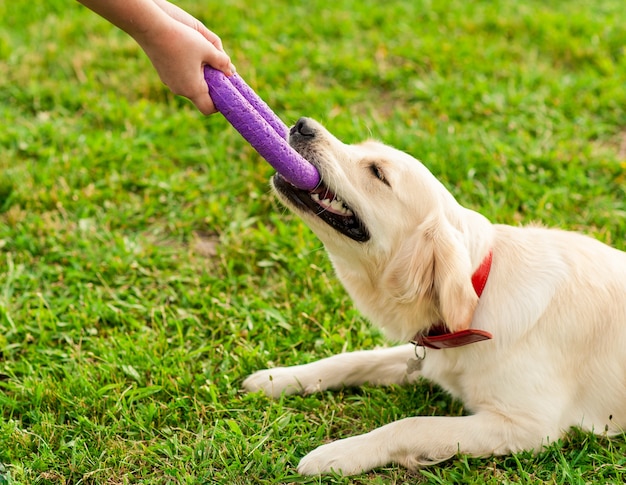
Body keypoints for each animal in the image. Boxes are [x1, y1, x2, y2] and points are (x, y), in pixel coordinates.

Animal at [241, 118, 624, 476]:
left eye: (378, 172)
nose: (302, 125)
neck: (481, 291)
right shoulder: (428, 351)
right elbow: (354, 359)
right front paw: (280, 378)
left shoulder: (528, 426)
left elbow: (410, 424)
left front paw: (337, 454)